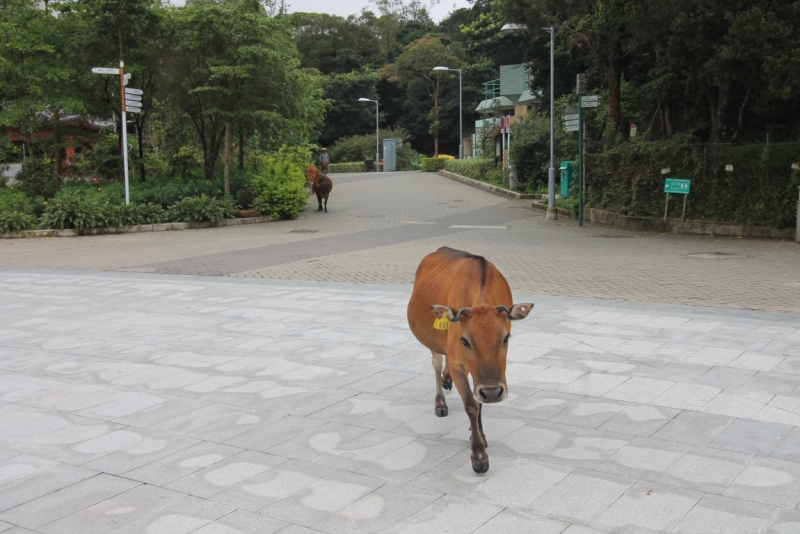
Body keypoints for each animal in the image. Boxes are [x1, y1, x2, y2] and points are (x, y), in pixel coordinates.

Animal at [406, 247, 532, 474]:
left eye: (506, 337)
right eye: (465, 340)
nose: (493, 392)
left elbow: (479, 402)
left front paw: (480, 435)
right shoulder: (458, 363)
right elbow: (471, 405)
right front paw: (479, 455)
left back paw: (446, 381)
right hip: (432, 341)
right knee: (436, 364)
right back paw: (440, 402)